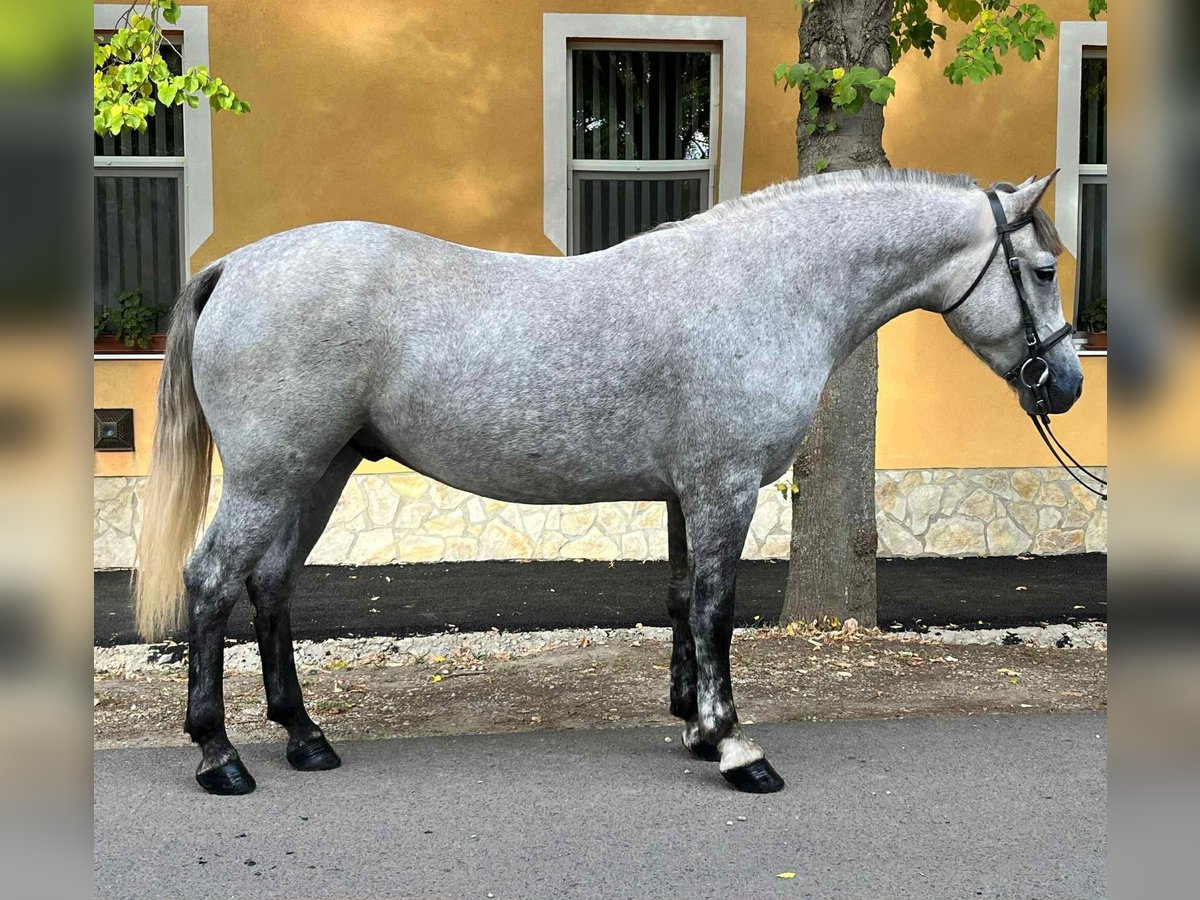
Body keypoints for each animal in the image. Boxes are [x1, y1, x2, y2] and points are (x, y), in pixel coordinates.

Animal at [133, 168, 1082, 796]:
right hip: (272, 475)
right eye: (1041, 270)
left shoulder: (685, 495)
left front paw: (697, 729)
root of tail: (238, 266)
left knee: (271, 585)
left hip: (317, 474)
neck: (766, 287)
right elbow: (715, 613)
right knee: (212, 581)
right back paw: (220, 757)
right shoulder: (723, 490)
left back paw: (305, 737)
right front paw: (737, 750)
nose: (1066, 384)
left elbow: (682, 605)